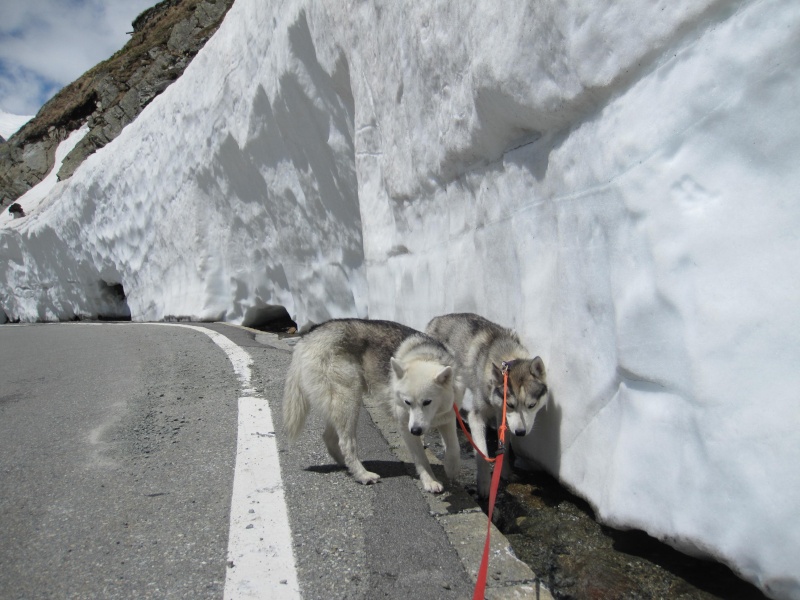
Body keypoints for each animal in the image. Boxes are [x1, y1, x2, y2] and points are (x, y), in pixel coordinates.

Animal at [284, 318, 466, 492]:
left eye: (427, 402)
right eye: (407, 402)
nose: (416, 430)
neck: (425, 357)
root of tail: (309, 334)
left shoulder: (448, 418)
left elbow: (454, 448)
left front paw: (452, 469)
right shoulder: (404, 426)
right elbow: (421, 458)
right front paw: (430, 480)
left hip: (340, 406)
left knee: (330, 438)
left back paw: (347, 466)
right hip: (350, 401)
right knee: (346, 443)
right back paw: (361, 474)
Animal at [424, 314, 544, 496]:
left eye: (532, 405)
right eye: (510, 404)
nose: (521, 432)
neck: (505, 357)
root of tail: (435, 319)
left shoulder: (504, 418)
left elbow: (504, 450)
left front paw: (505, 472)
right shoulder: (477, 416)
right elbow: (482, 455)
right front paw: (485, 486)